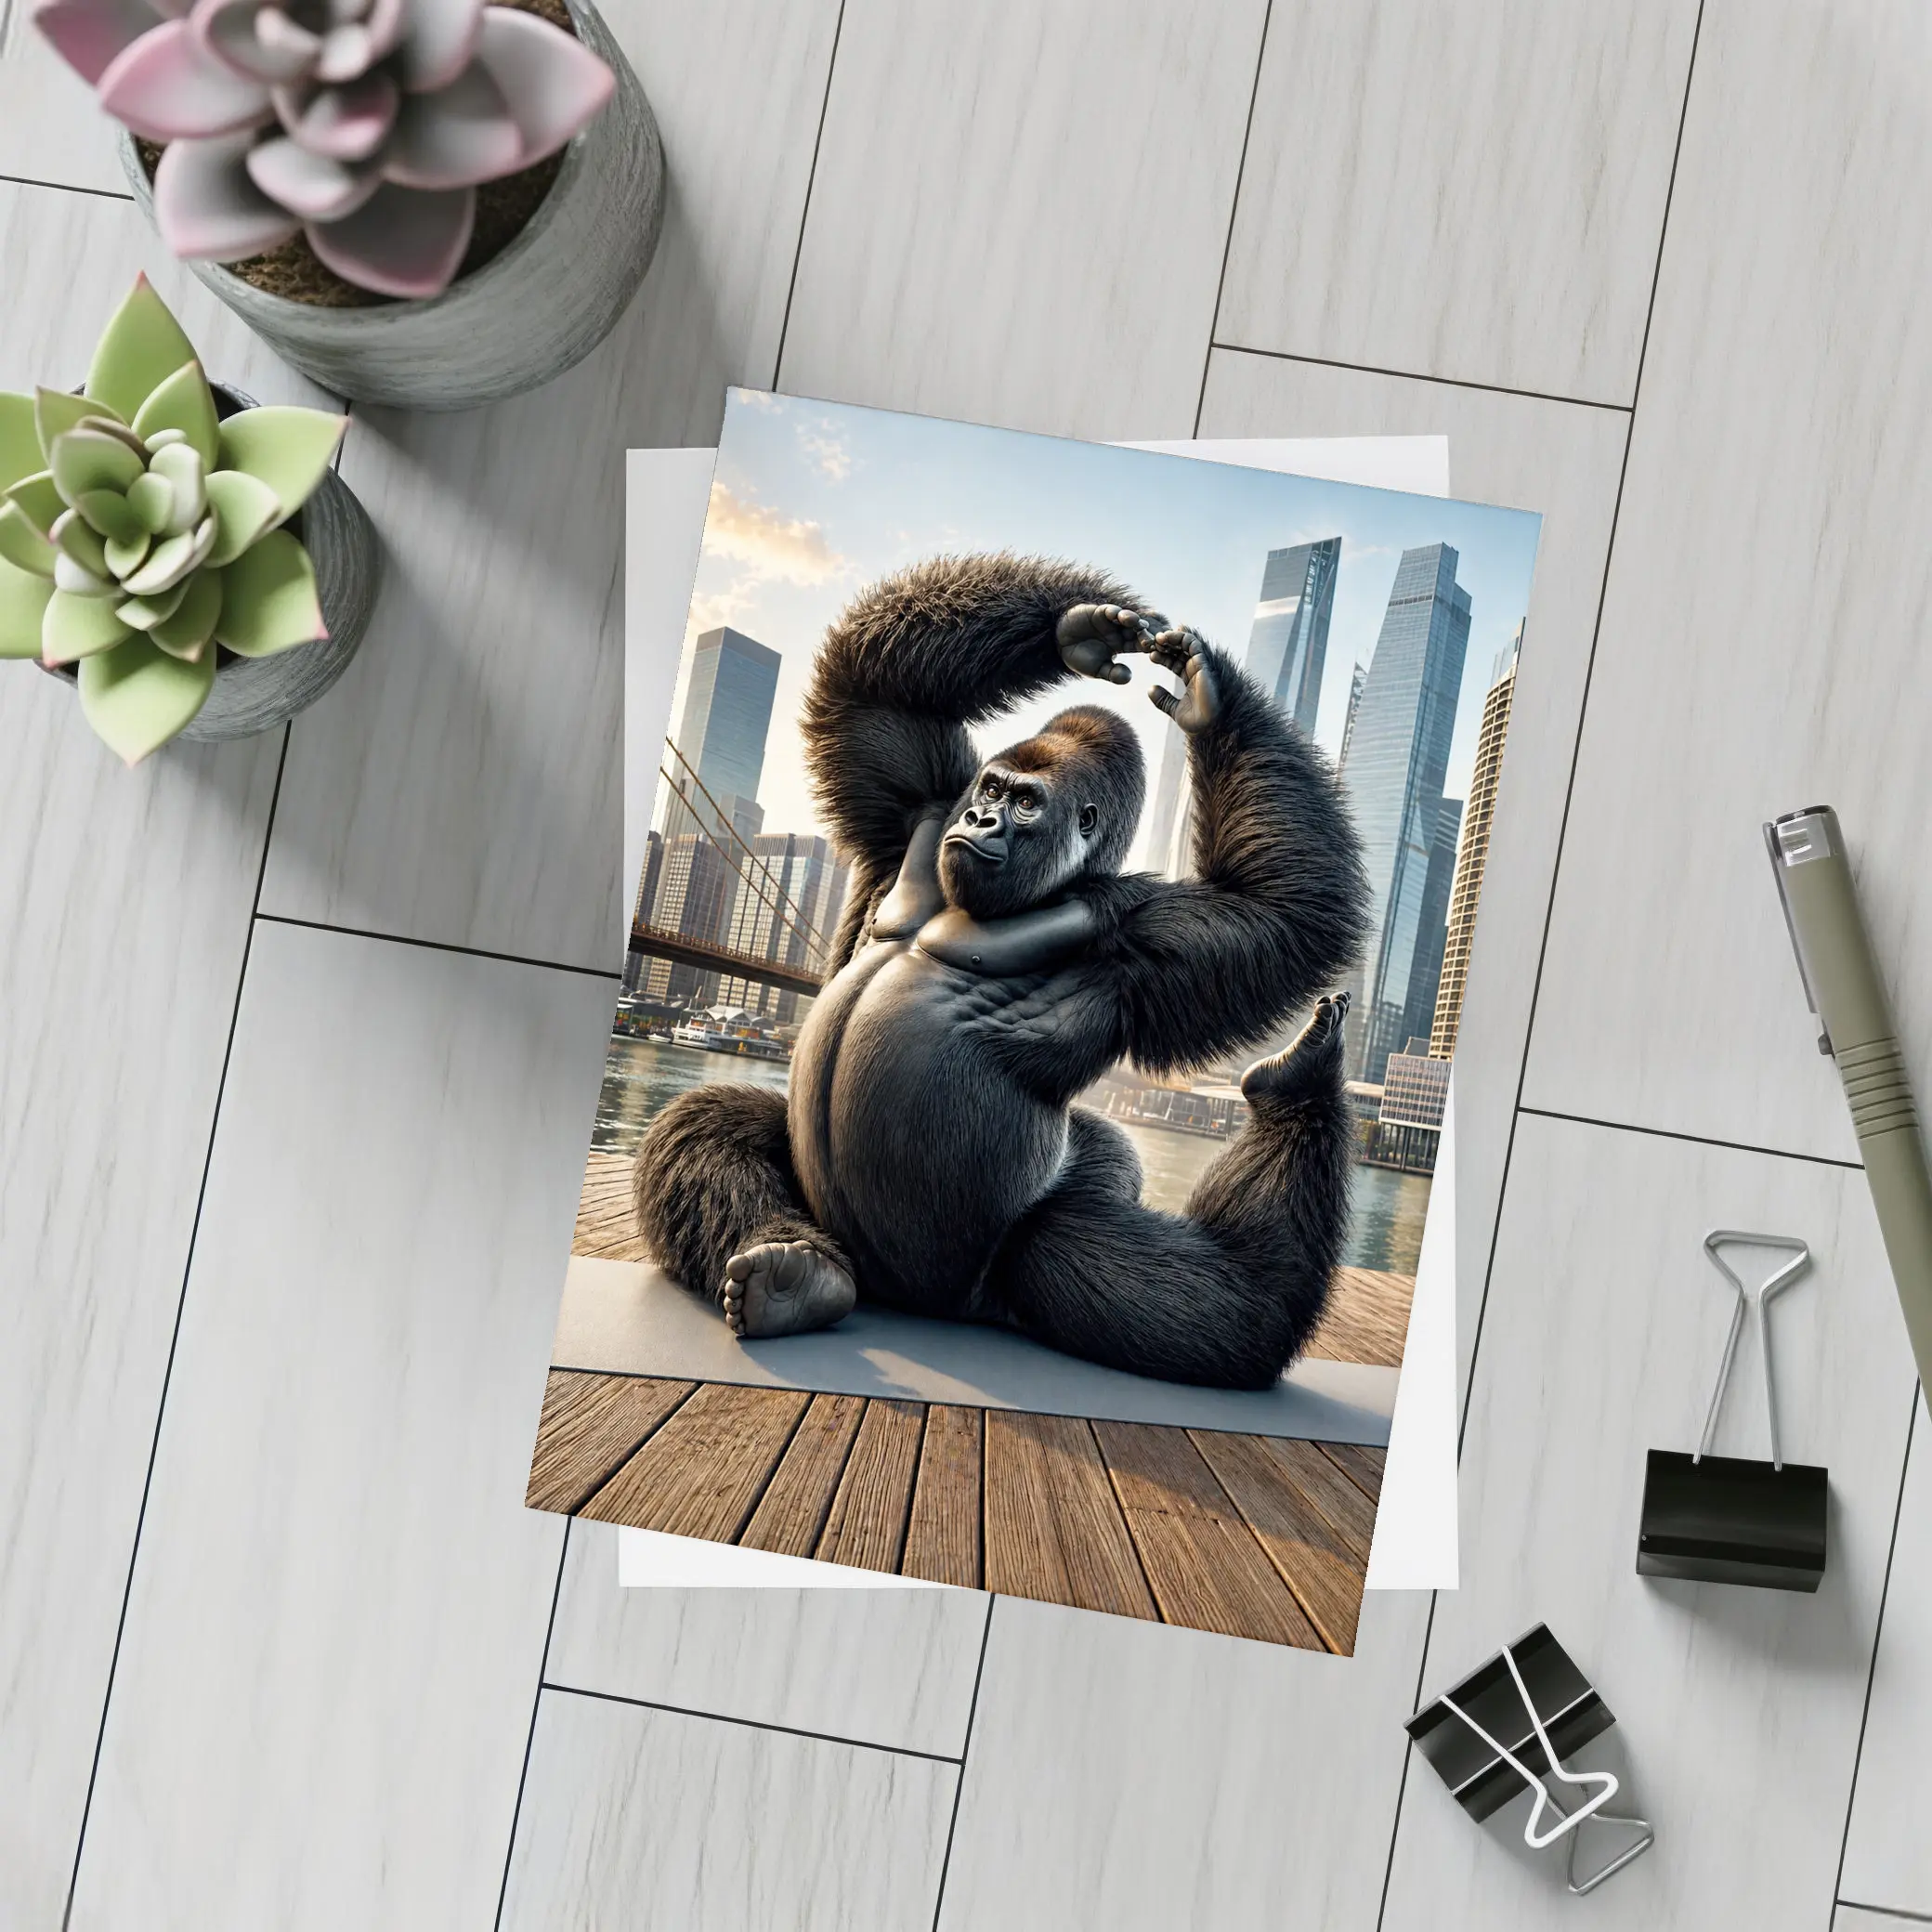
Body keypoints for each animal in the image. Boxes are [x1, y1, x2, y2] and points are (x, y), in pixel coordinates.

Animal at [631, 554, 1370, 1390]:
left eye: (1024, 805)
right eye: (989, 791)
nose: (981, 820)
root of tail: (918, 1304)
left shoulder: (1145, 930)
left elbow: (1284, 910)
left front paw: (1208, 700)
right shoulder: (922, 802)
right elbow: (871, 691)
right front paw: (1084, 630)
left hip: (1014, 1260)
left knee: (1186, 1295)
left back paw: (1295, 1087)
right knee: (710, 1125)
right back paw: (792, 1274)